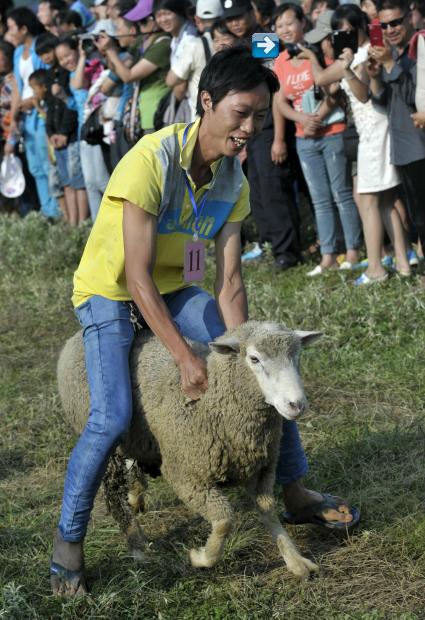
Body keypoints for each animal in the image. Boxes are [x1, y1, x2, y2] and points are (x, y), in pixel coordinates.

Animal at [57, 322, 322, 580]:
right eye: (254, 359)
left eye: (297, 355)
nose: (296, 405)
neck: (213, 404)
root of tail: (74, 338)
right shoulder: (185, 475)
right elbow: (224, 520)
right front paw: (201, 557)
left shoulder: (261, 470)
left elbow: (269, 513)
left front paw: (296, 561)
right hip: (106, 438)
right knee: (113, 494)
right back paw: (136, 546)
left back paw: (136, 493)